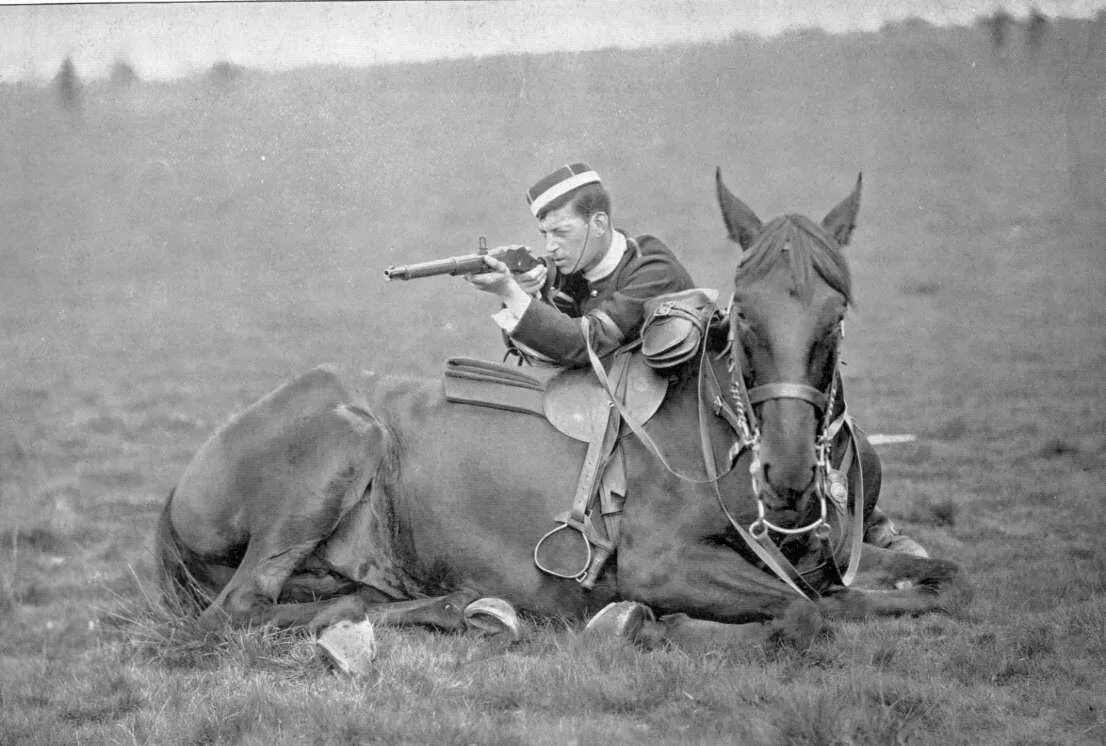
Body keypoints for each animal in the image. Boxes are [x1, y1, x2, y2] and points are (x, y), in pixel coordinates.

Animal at [155, 172, 968, 649]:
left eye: (836, 316)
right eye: (747, 315)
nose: (790, 479)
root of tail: (179, 489)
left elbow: (942, 581)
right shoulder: (661, 566)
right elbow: (807, 612)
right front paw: (655, 625)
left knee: (335, 600)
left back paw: (455, 608)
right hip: (346, 439)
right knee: (236, 611)